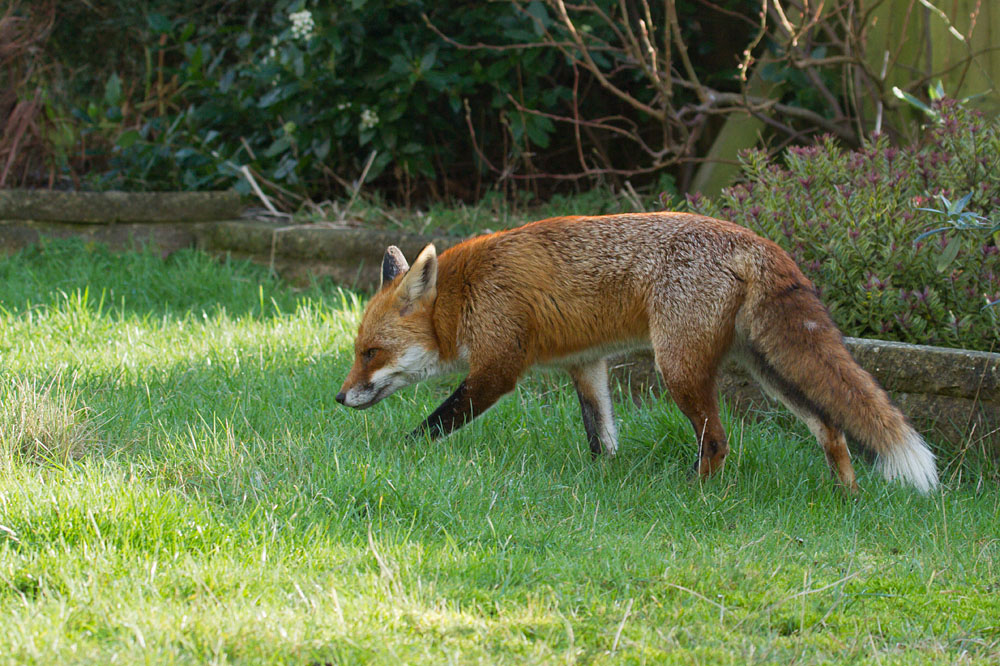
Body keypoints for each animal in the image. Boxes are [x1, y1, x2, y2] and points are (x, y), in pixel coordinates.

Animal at [335, 212, 938, 494]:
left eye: (371, 352)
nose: (339, 399)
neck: (463, 295)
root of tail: (758, 241)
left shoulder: (499, 366)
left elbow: (436, 422)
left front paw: (396, 454)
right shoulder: (585, 363)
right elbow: (600, 436)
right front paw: (600, 480)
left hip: (680, 369)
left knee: (718, 441)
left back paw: (696, 498)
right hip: (771, 371)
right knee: (830, 426)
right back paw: (847, 497)